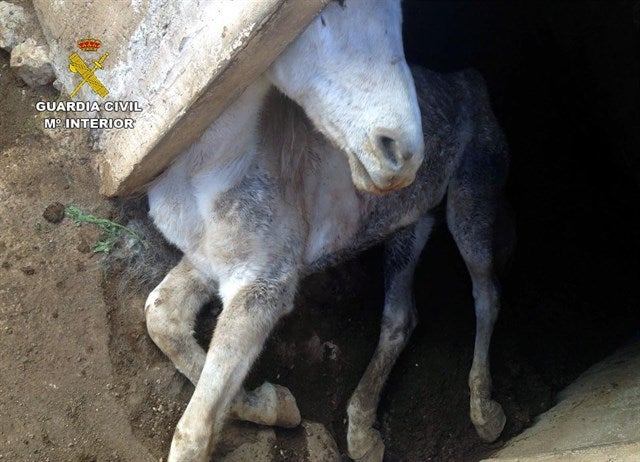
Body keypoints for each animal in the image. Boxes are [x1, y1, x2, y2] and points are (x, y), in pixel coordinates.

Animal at [143, 0, 512, 460]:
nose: (403, 153)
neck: (212, 169)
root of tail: (469, 80)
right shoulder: (208, 260)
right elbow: (161, 317)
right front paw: (277, 404)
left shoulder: (264, 286)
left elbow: (195, 427)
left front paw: (269, 407)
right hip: (410, 225)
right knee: (399, 319)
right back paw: (363, 432)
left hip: (470, 204)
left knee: (486, 294)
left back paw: (484, 411)